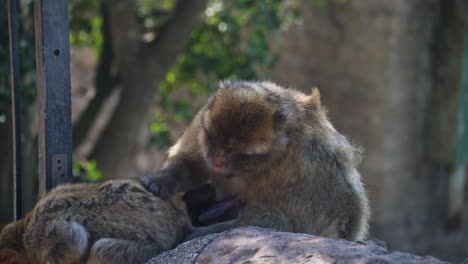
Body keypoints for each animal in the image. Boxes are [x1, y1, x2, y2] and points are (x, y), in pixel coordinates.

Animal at [141, 80, 372, 241]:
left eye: (245, 155)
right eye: (211, 138)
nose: (217, 162)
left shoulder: (309, 167)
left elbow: (282, 222)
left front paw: (198, 232)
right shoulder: (200, 123)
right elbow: (192, 162)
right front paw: (162, 180)